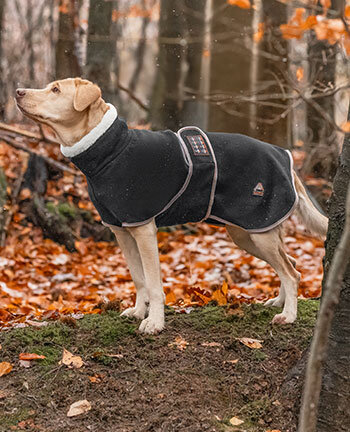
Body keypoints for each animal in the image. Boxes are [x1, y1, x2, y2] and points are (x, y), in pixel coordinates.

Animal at [15, 78, 328, 334]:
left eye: (56, 90)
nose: (18, 92)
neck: (110, 150)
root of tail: (283, 155)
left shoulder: (143, 229)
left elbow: (154, 284)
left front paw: (154, 322)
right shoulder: (122, 231)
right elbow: (139, 279)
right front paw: (137, 312)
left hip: (260, 231)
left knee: (291, 272)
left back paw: (288, 316)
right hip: (249, 232)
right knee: (292, 264)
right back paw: (279, 302)